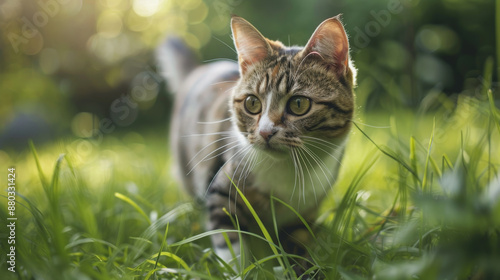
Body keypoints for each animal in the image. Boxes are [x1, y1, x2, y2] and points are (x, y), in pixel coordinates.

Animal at [156, 14, 356, 276]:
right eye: (252, 103)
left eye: (299, 104)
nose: (265, 132)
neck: (289, 170)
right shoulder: (222, 189)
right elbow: (230, 243)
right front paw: (239, 272)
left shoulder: (304, 213)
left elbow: (298, 246)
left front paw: (304, 270)